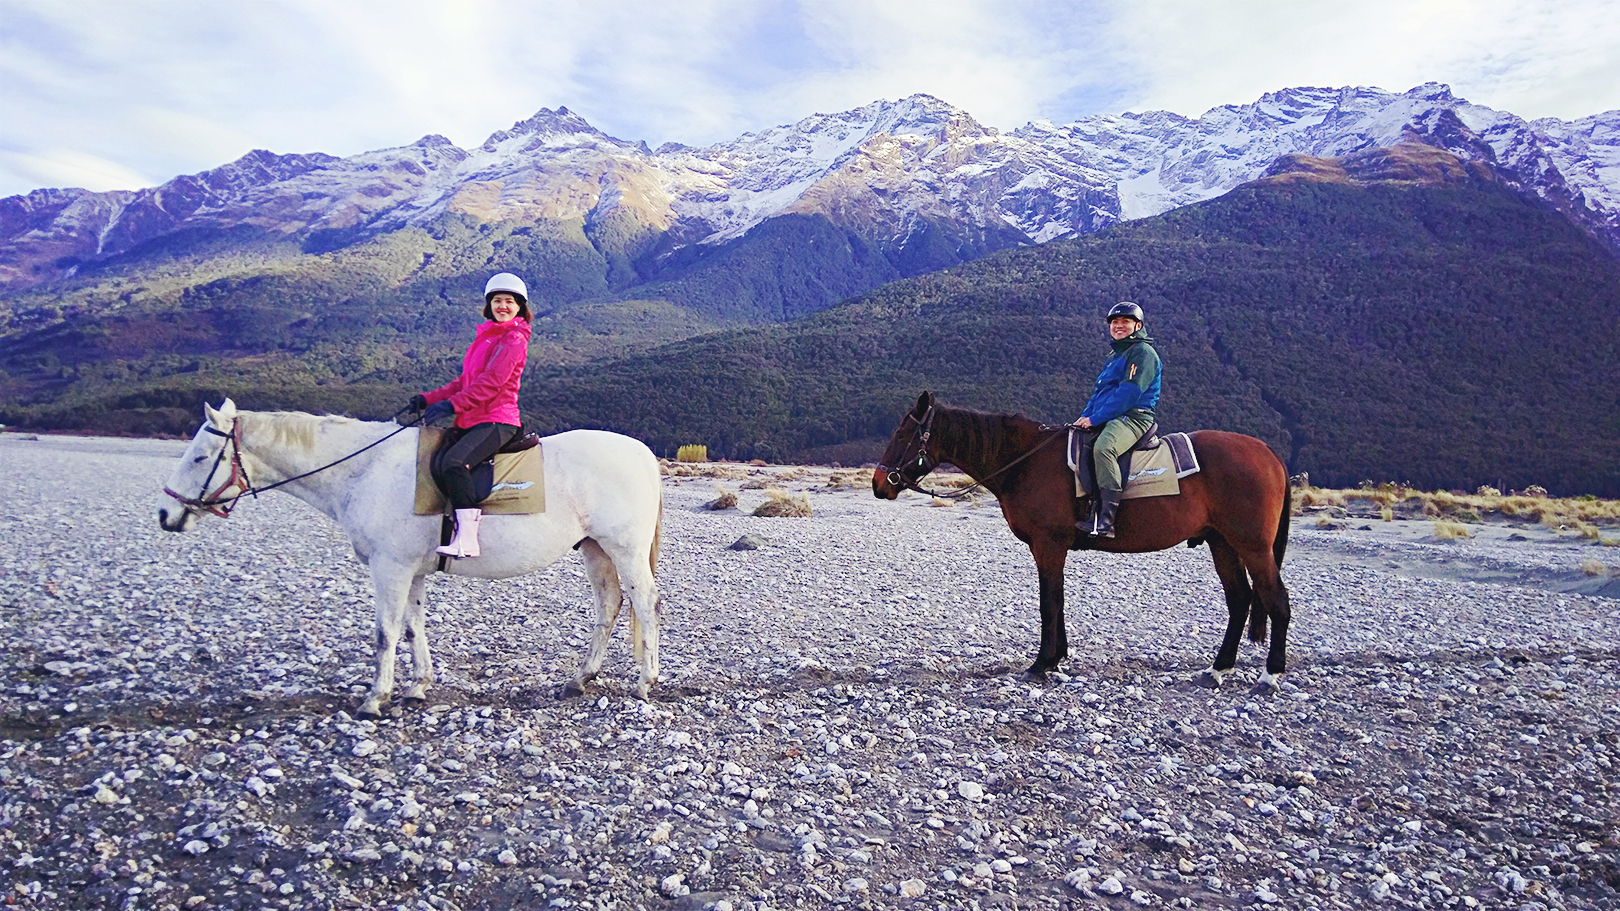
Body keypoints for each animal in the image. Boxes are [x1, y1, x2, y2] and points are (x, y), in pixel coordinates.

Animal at [152, 400, 657, 713]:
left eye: (200, 457)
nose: (165, 513)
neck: (363, 471)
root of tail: (644, 453)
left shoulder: (389, 568)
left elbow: (385, 632)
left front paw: (375, 698)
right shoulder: (410, 571)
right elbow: (414, 626)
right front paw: (417, 686)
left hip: (624, 549)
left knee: (644, 604)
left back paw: (645, 681)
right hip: (594, 549)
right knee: (609, 605)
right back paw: (580, 678)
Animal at [874, 389, 1289, 680]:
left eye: (904, 432)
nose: (880, 483)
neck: (1027, 462)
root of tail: (1269, 453)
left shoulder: (1048, 545)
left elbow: (1049, 603)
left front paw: (1042, 663)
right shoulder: (1050, 548)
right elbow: (1057, 601)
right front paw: (1057, 658)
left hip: (1253, 546)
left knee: (1275, 601)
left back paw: (1271, 674)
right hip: (1223, 543)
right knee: (1240, 600)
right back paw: (1218, 668)